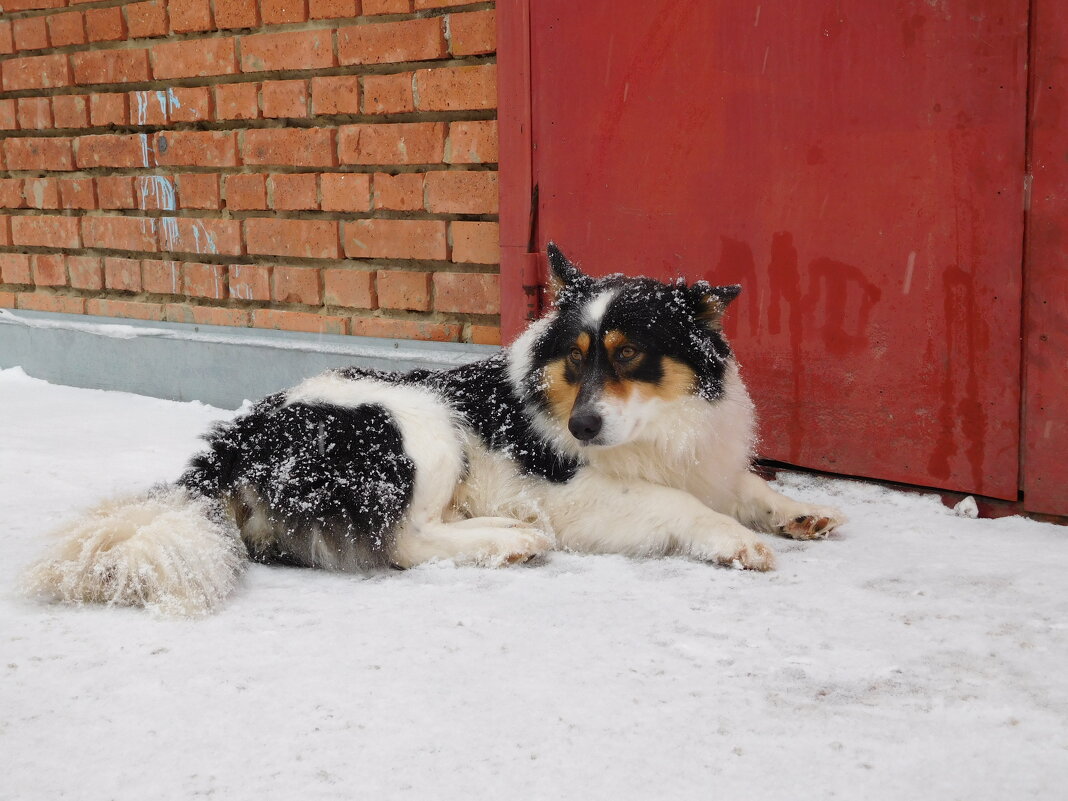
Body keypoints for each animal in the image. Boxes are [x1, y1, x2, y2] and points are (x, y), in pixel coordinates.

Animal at [20, 244, 845, 615]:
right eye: (576, 358)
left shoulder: (707, 458)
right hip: (422, 423)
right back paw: (508, 540)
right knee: (406, 541)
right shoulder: (583, 495)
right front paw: (734, 539)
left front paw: (796, 510)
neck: (658, 426)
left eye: (627, 354)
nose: (580, 423)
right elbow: (682, 506)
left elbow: (745, 487)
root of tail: (243, 434)